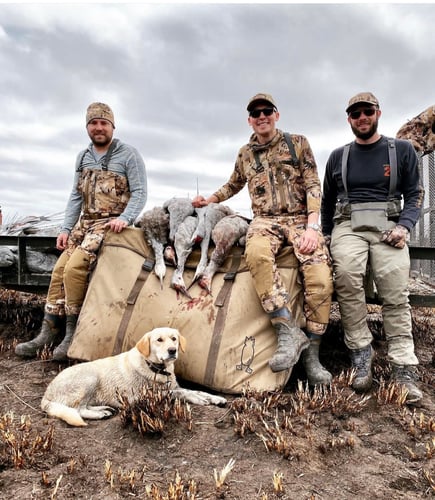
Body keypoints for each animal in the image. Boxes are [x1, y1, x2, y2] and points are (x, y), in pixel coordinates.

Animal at [41, 326, 228, 428]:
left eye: (174, 338)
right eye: (159, 340)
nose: (172, 350)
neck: (155, 368)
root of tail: (46, 395)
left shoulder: (173, 386)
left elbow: (196, 391)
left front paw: (215, 398)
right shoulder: (146, 396)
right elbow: (183, 393)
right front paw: (199, 399)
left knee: (83, 407)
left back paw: (104, 410)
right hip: (90, 378)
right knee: (77, 409)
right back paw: (100, 414)